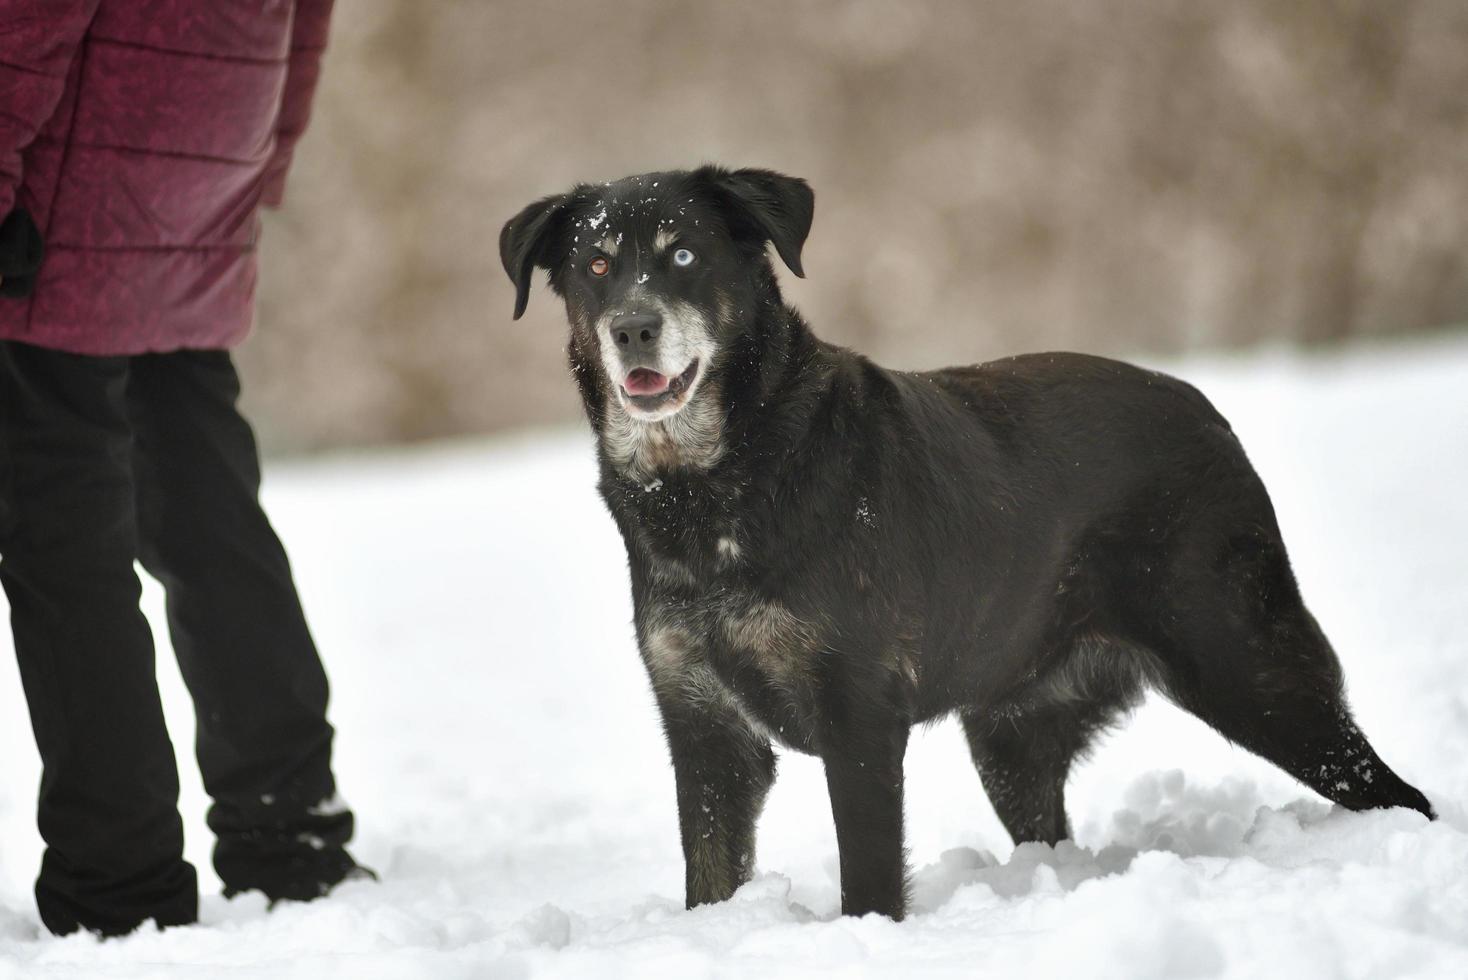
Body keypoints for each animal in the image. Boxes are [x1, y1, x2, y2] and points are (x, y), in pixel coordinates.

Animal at [502, 166, 1432, 921]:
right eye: (596, 267)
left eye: (686, 256)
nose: (633, 328)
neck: (713, 483)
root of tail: (1211, 417)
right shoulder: (705, 729)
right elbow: (710, 876)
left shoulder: (857, 717)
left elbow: (869, 881)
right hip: (1011, 737)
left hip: (1249, 671)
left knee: (1397, 794)